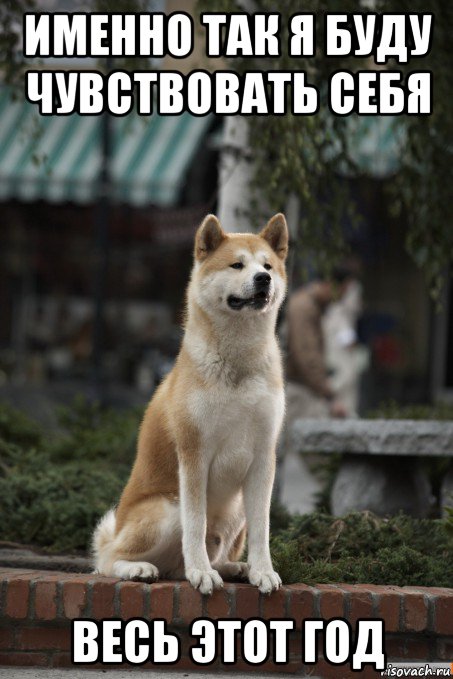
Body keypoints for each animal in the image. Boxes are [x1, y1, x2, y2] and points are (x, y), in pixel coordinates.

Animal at [93, 214, 288, 596]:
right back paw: (142, 568)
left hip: (236, 509)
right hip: (167, 508)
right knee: (107, 560)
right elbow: (195, 525)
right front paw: (201, 573)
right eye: (237, 265)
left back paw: (235, 568)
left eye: (268, 265)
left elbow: (263, 529)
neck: (238, 364)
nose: (264, 279)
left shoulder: (263, 457)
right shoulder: (194, 453)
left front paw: (263, 571)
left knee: (203, 558)